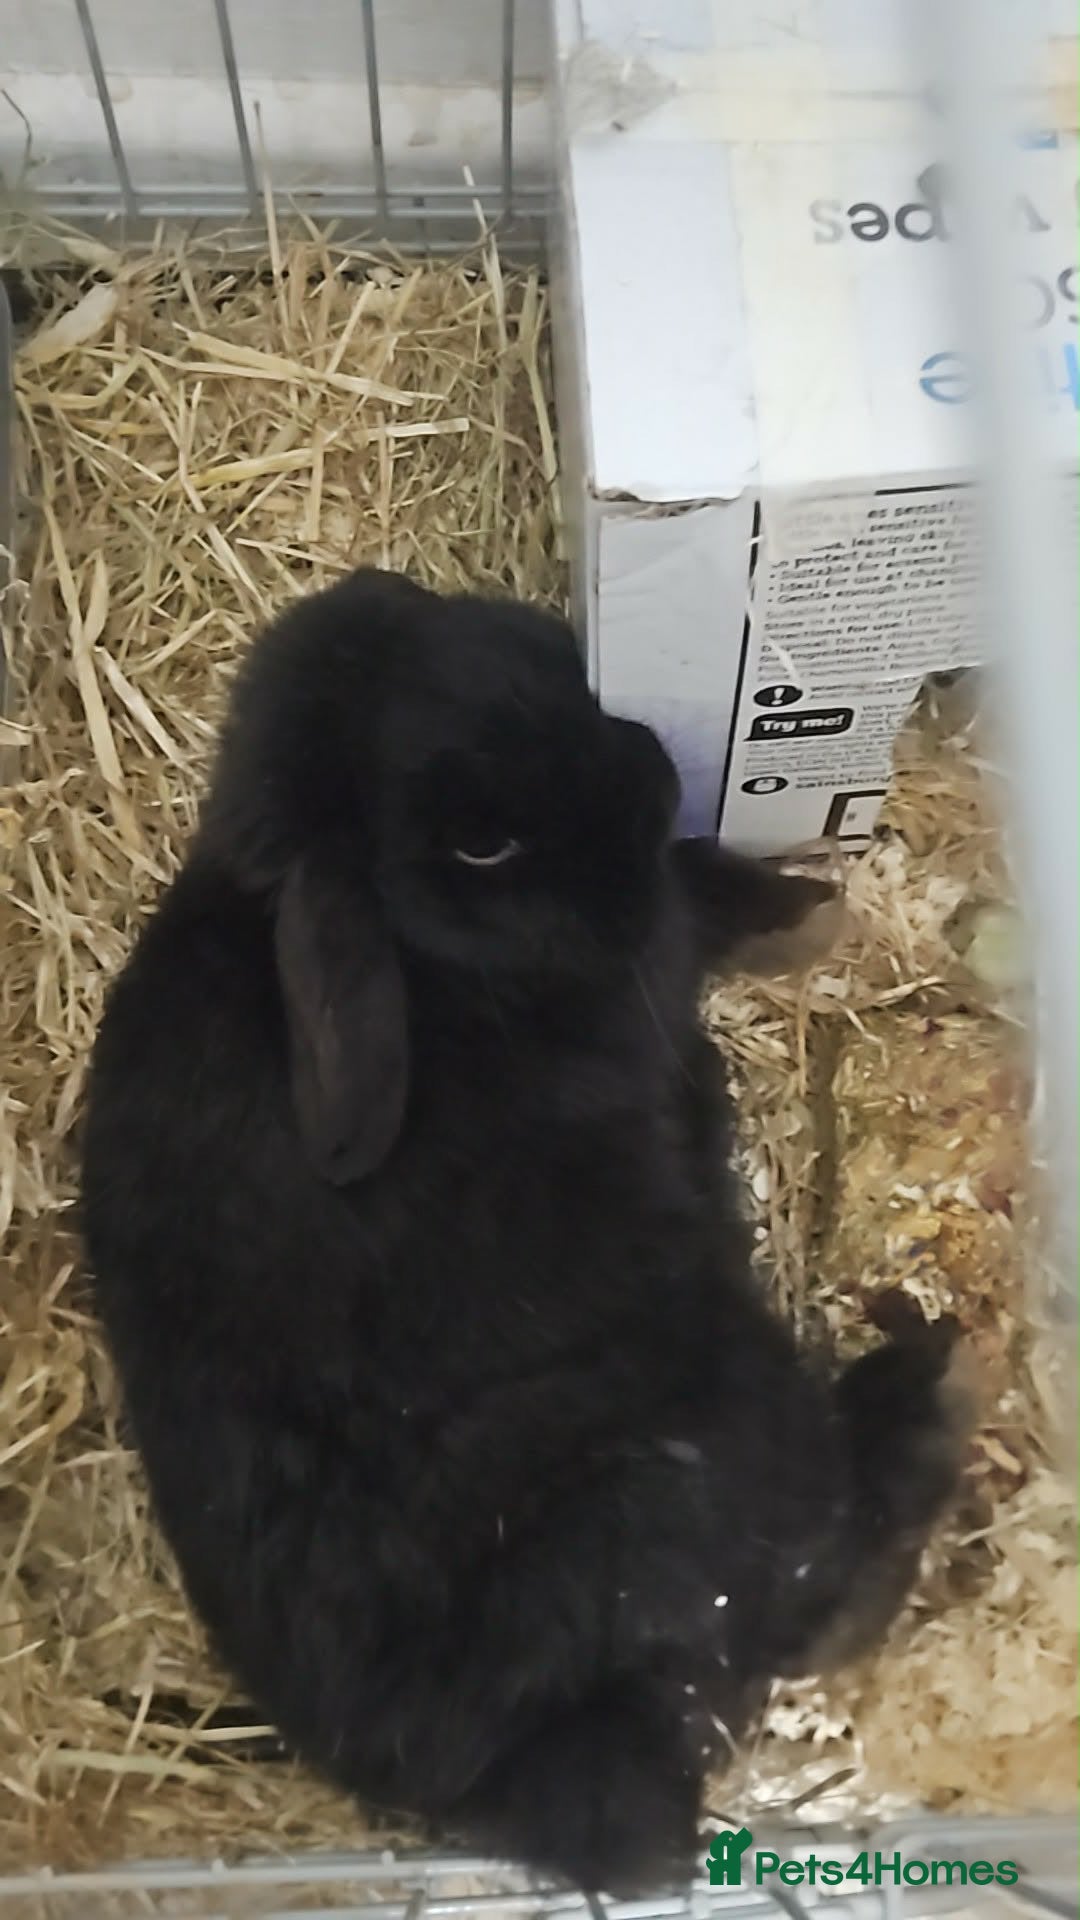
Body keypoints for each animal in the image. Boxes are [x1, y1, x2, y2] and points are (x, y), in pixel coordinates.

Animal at [81, 569, 971, 1896]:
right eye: (480, 841)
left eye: (522, 652)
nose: (651, 765)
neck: (440, 965)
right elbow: (696, 894)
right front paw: (816, 917)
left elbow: (702, 878)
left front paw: (807, 905)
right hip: (715, 1421)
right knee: (816, 1591)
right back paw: (920, 1386)